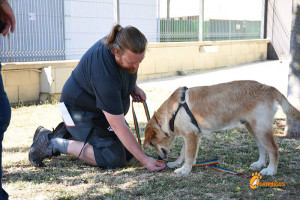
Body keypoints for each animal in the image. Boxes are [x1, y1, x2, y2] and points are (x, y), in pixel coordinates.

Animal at [143, 80, 300, 176]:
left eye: (152, 143)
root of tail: (269, 88)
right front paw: (177, 164)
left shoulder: (190, 136)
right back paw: (260, 164)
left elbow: (188, 155)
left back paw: (271, 170)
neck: (173, 111)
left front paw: (185, 170)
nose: (158, 157)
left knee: (274, 149)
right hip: (253, 128)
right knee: (262, 147)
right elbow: (184, 153)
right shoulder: (191, 135)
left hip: (261, 129)